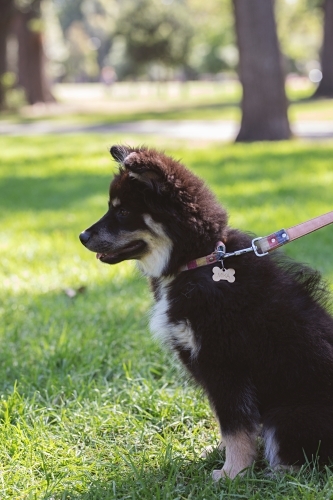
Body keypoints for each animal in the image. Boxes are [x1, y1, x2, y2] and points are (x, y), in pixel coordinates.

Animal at [79, 146, 332, 480]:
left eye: (122, 212)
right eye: (112, 208)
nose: (82, 236)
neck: (200, 262)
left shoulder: (223, 362)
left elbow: (235, 423)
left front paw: (232, 473)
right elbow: (227, 421)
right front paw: (222, 454)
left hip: (288, 413)